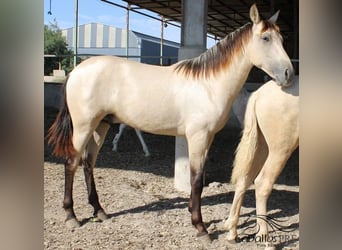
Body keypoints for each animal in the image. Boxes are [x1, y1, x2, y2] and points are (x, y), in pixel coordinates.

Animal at [223, 76, 298, 244]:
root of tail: (258, 94)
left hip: (261, 147)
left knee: (244, 180)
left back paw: (232, 233)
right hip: (279, 150)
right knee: (262, 183)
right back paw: (265, 239)